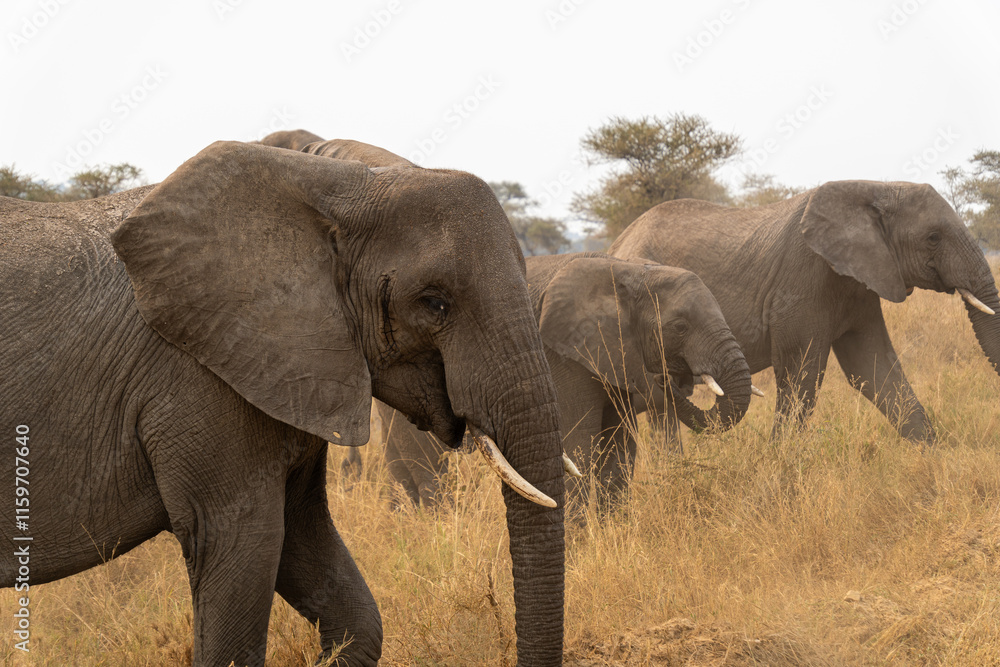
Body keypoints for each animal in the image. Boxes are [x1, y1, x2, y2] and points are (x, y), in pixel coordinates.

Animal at [368, 253, 754, 512]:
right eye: (680, 327)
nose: (670, 377)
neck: (629, 269)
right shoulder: (563, 356)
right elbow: (577, 446)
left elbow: (619, 453)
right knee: (429, 465)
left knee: (402, 466)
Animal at [610, 181, 1000, 442]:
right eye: (933, 238)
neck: (875, 186)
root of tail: (617, 242)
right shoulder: (803, 279)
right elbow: (801, 376)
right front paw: (778, 471)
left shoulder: (859, 281)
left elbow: (875, 369)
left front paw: (934, 459)